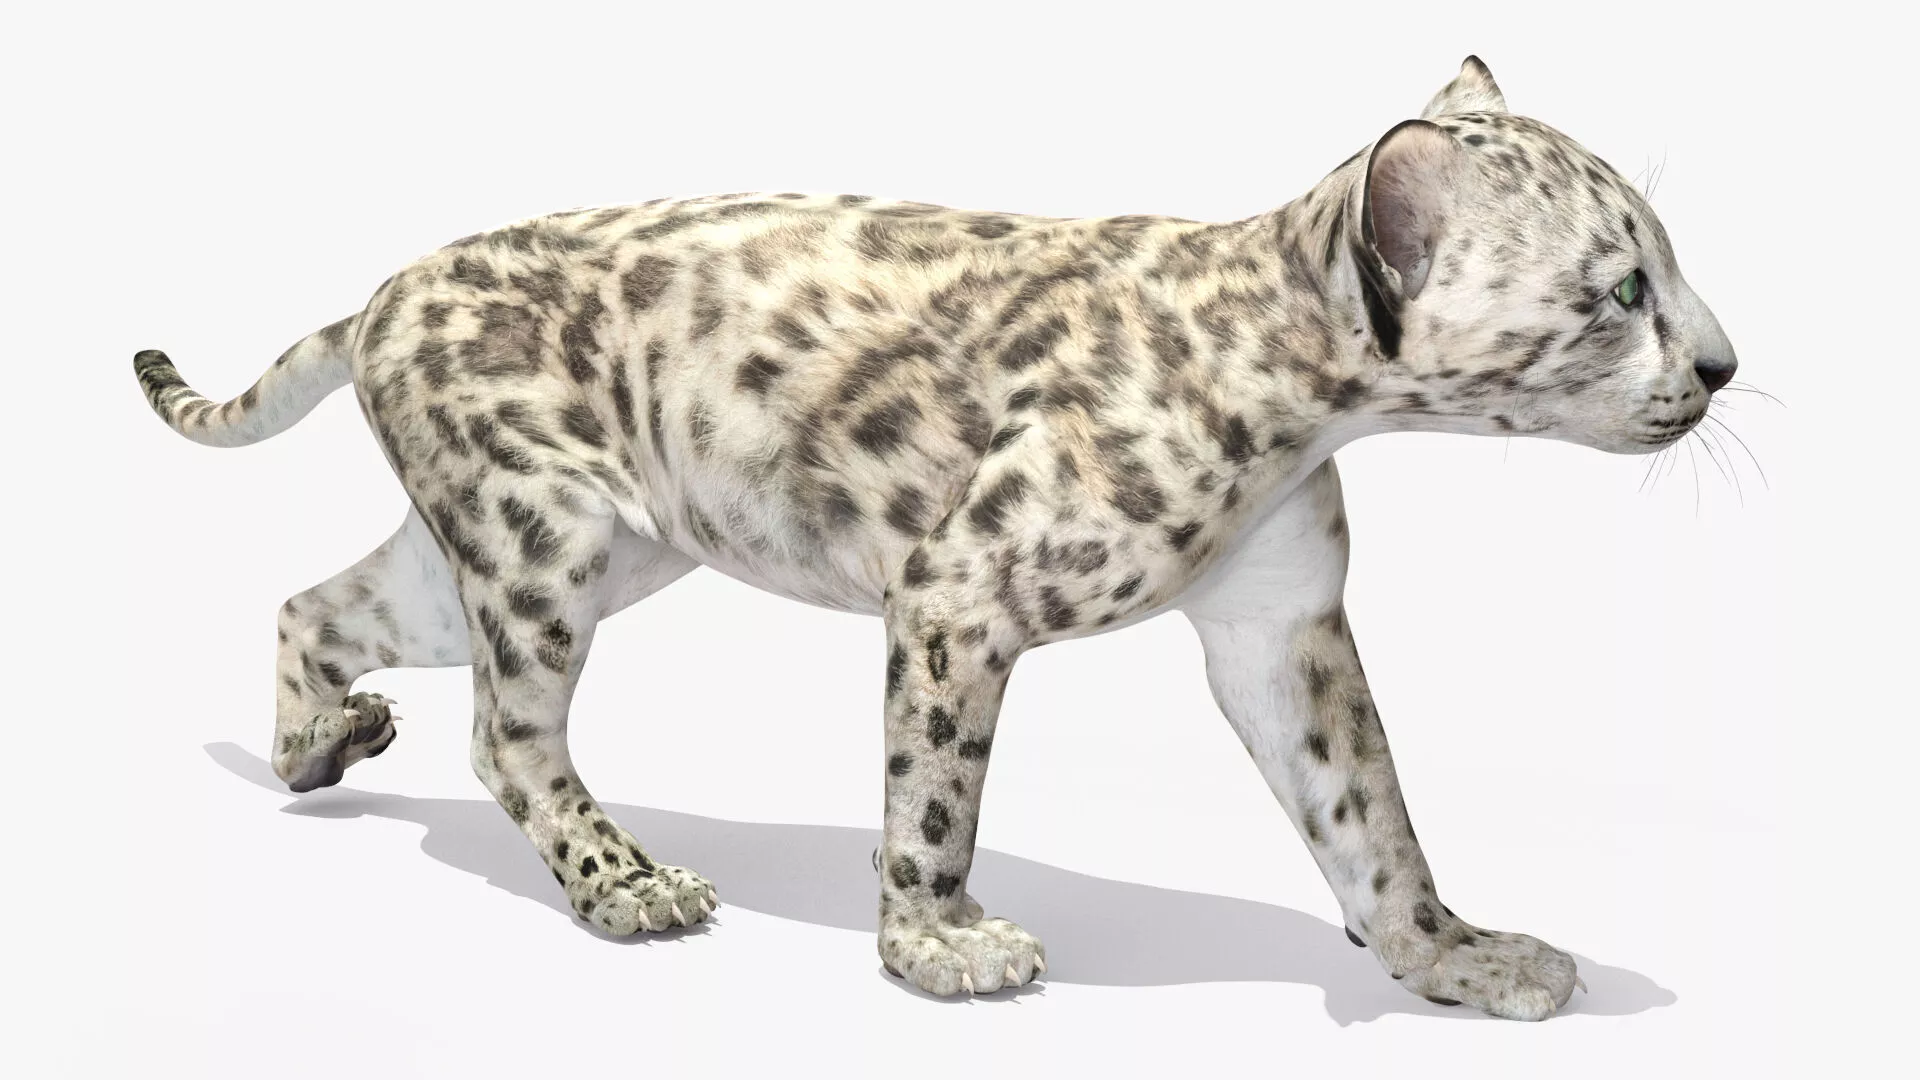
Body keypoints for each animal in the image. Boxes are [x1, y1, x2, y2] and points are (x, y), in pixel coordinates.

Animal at [132, 56, 1735, 1021]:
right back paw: (629, 885)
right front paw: (940, 947)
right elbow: (937, 796)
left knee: (315, 603)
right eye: (1620, 290)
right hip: (544, 544)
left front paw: (1450, 954)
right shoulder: (961, 596)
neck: (1301, 407)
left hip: (559, 545)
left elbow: (1370, 811)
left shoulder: (1283, 627)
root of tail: (383, 291)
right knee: (507, 736)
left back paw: (316, 748)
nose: (1723, 364)